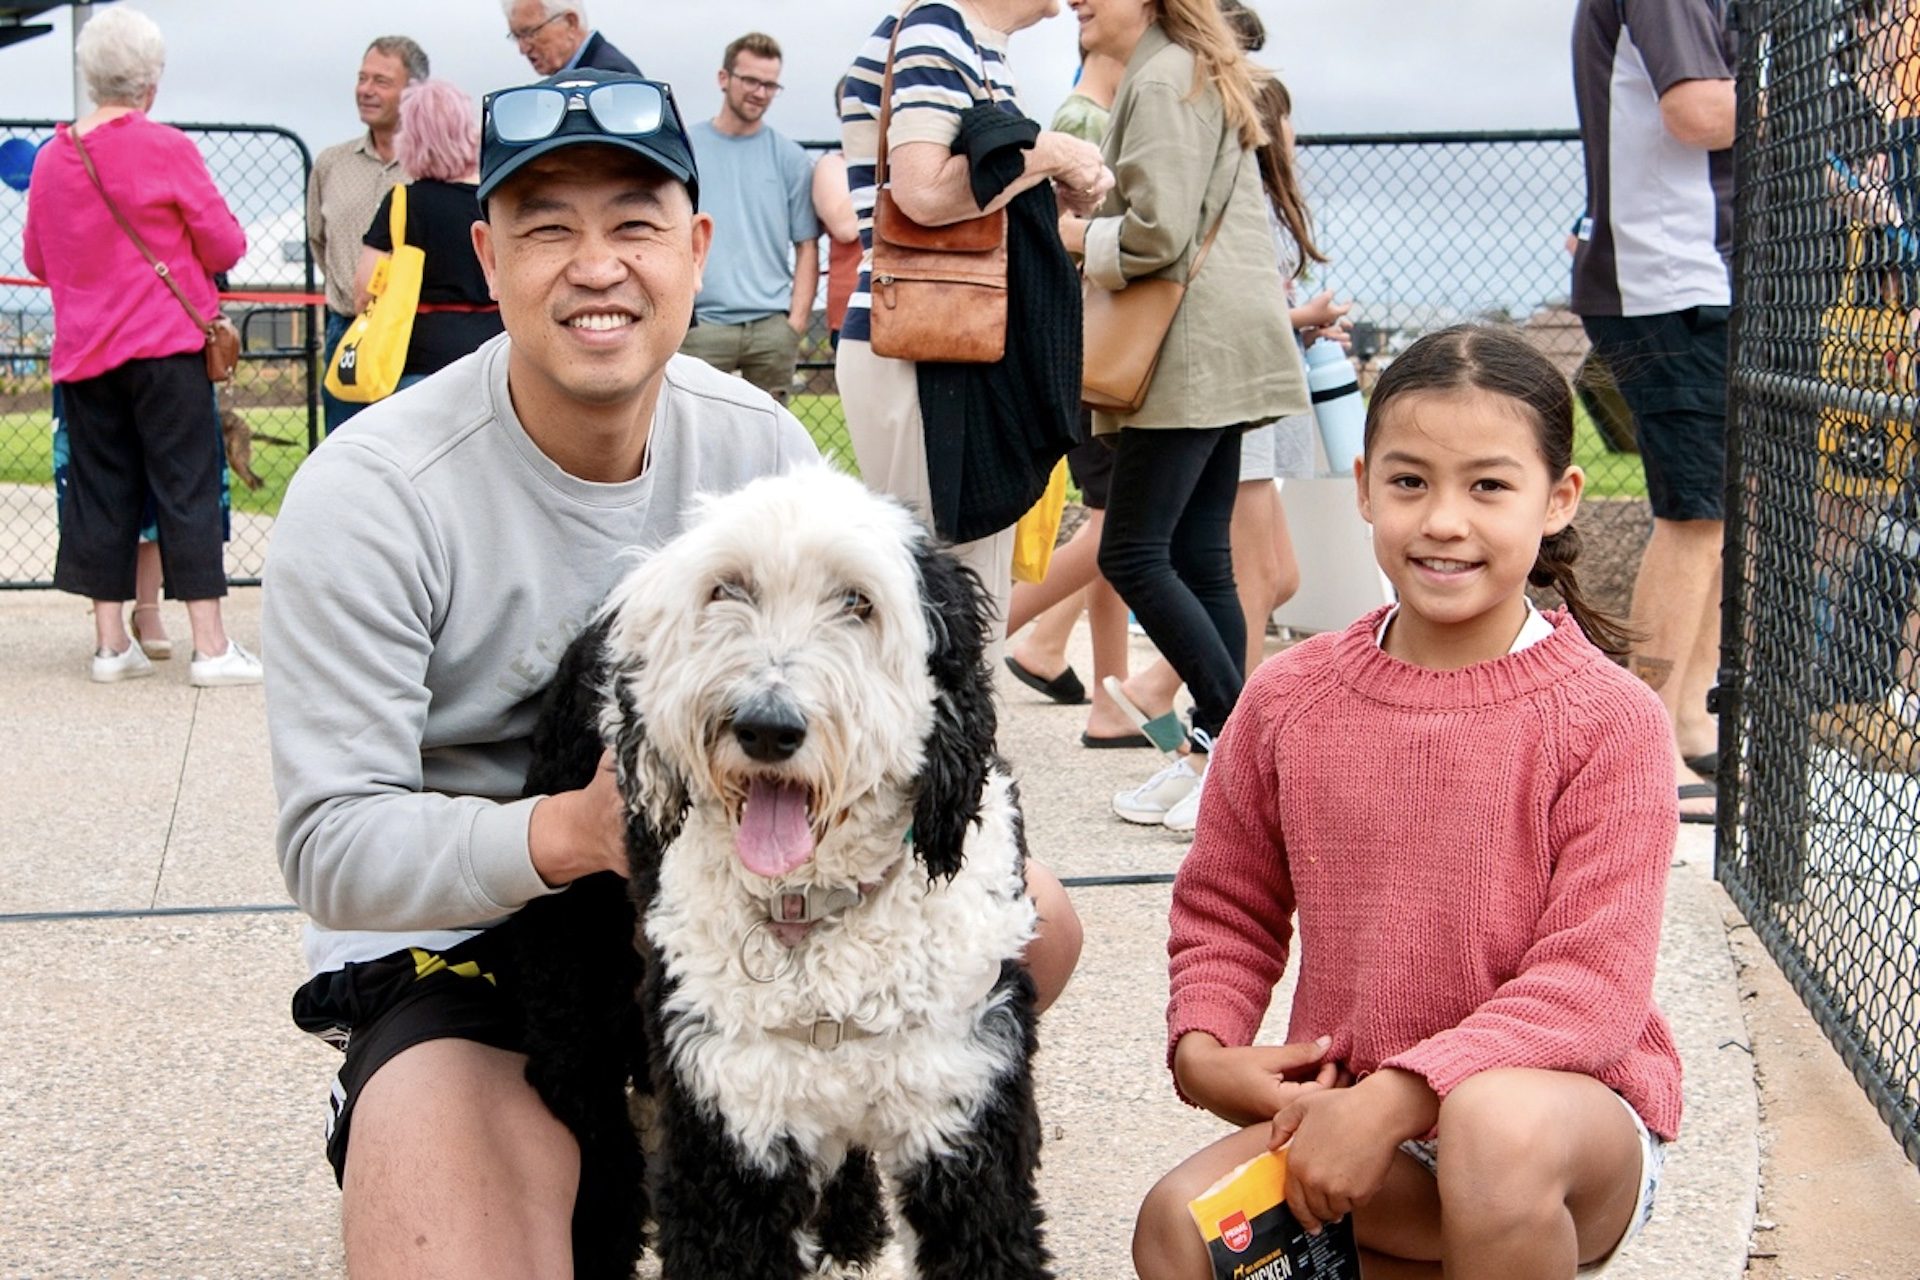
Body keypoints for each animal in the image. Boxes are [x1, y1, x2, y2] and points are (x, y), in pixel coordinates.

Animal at [514, 470, 1052, 1280]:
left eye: (858, 602)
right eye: (727, 590)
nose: (767, 726)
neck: (814, 918)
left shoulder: (963, 1106)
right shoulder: (727, 1129)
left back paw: (850, 1230)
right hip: (576, 995)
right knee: (597, 1144)